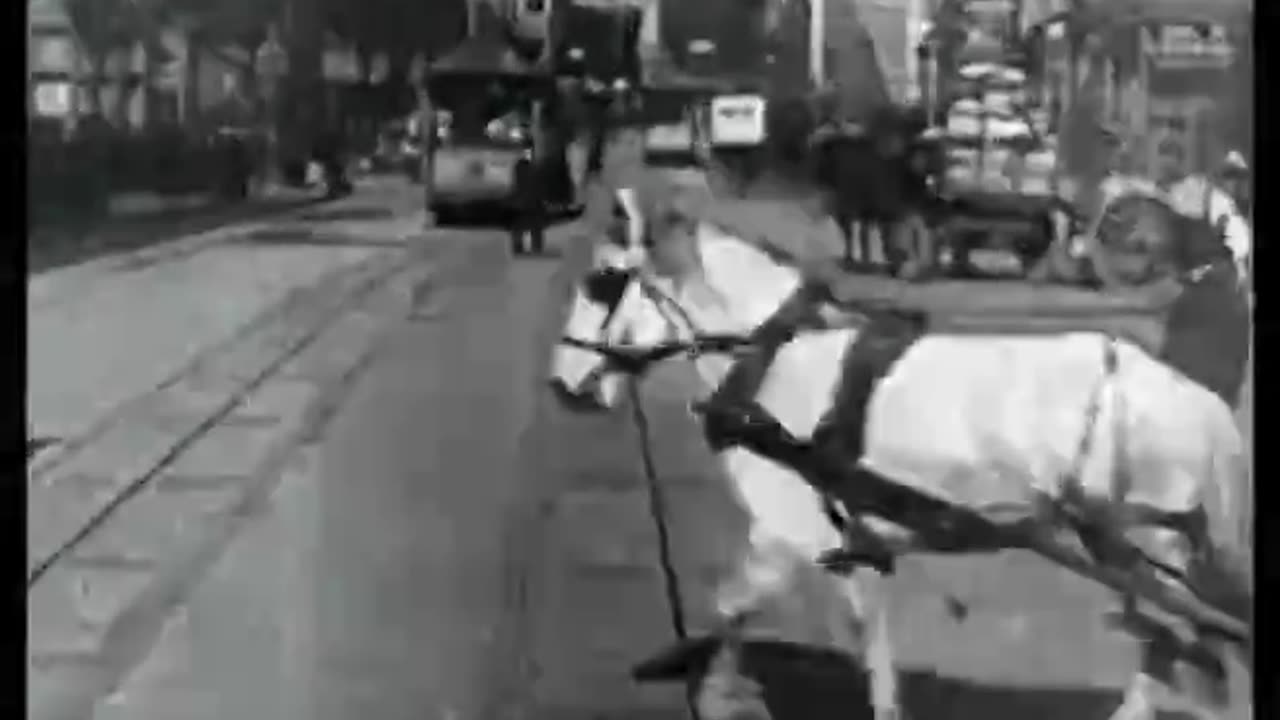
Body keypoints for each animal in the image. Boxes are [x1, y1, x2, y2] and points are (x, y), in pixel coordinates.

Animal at [550, 179, 1249, 717]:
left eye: (601, 282)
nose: (562, 384)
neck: (772, 361)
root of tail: (1202, 401)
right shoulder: (848, 538)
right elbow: (871, 641)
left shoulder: (784, 533)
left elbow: (731, 608)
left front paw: (718, 689)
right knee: (1184, 643)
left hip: (1146, 543)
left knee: (1179, 641)